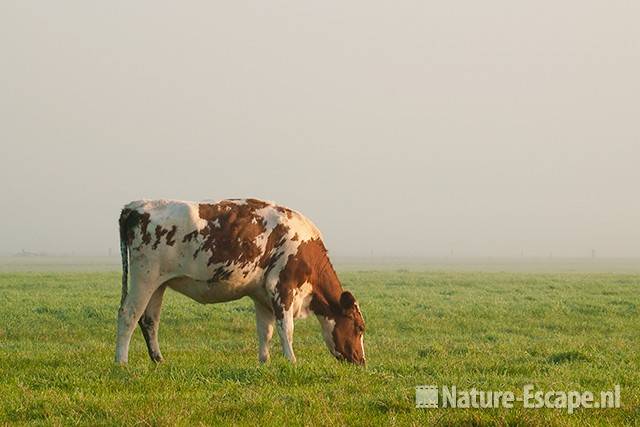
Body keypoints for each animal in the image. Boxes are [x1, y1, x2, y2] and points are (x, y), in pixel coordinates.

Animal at [115, 199, 364, 366]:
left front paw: (264, 362)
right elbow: (286, 329)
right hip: (144, 278)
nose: (362, 361)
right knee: (128, 315)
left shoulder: (262, 295)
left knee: (149, 320)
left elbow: (266, 330)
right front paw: (292, 362)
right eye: (360, 327)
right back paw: (121, 362)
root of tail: (136, 206)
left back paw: (158, 360)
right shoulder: (282, 286)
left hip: (158, 284)